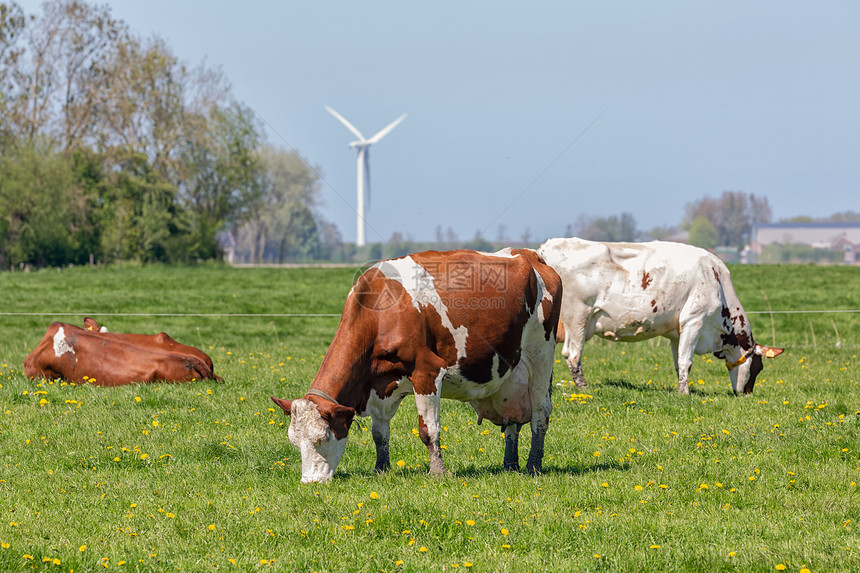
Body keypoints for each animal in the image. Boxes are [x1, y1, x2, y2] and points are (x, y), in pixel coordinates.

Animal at [270, 248, 564, 480]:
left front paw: (438, 472)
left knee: (540, 413)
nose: (310, 483)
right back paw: (510, 464)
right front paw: (381, 469)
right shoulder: (380, 385)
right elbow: (380, 433)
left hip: (542, 353)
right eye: (294, 442)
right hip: (510, 373)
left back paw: (533, 465)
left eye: (322, 438)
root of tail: (528, 255)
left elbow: (428, 430)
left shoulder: (427, 371)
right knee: (512, 420)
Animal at [540, 237, 784, 394]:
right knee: (573, 354)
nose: (746, 394)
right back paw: (584, 389)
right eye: (759, 368)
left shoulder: (677, 332)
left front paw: (680, 389)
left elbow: (679, 363)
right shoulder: (694, 321)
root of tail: (546, 247)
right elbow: (687, 361)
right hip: (577, 317)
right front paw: (685, 394)